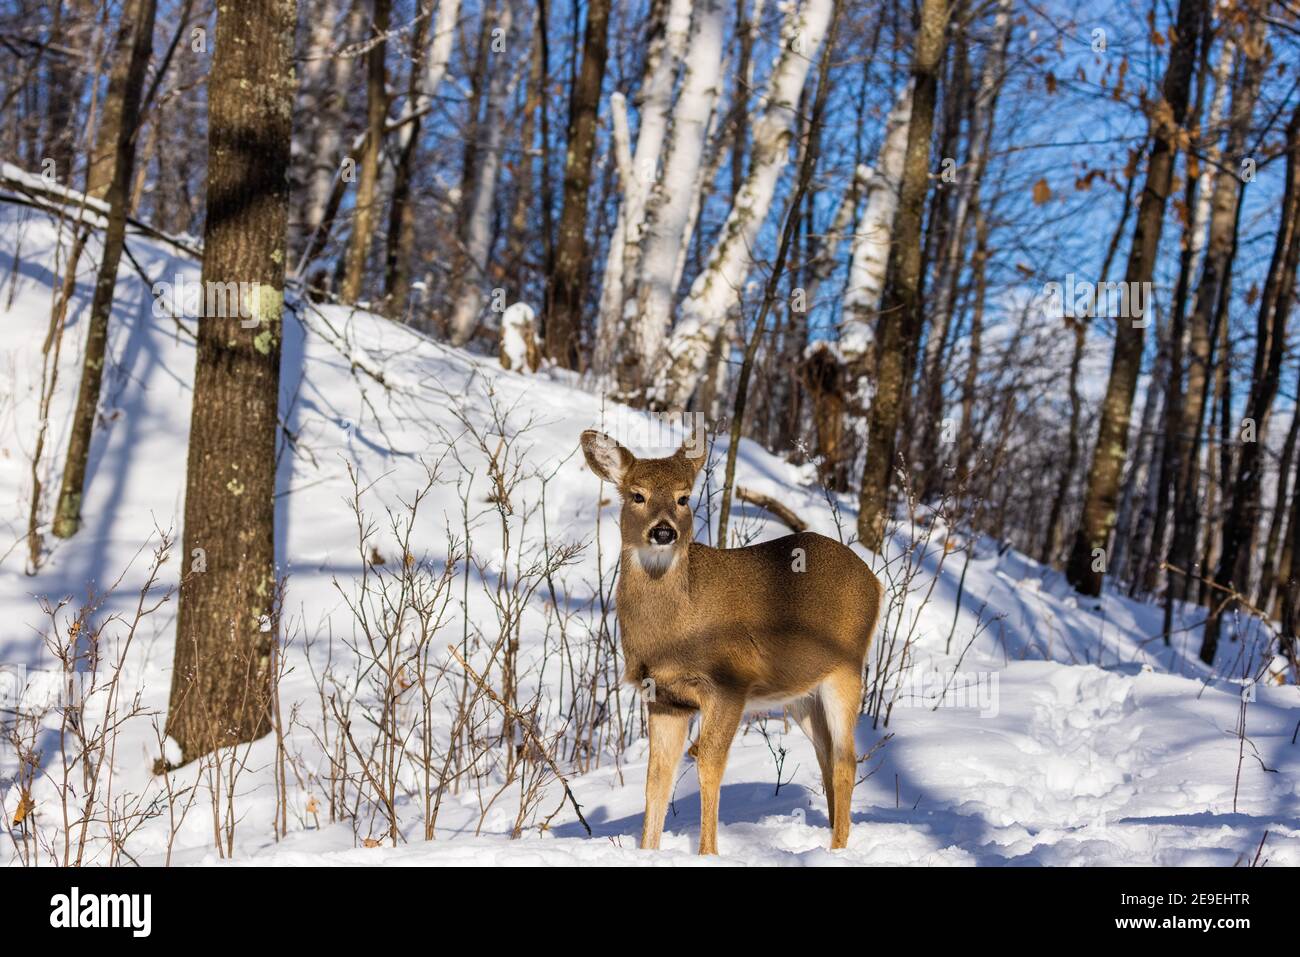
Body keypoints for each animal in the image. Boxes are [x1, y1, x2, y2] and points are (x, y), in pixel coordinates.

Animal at [579, 429, 883, 858]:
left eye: (683, 497)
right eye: (636, 495)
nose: (663, 531)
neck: (671, 632)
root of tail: (874, 580)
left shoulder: (729, 683)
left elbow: (707, 764)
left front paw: (707, 853)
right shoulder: (665, 698)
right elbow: (657, 779)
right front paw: (648, 851)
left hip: (847, 669)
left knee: (845, 760)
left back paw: (837, 850)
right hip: (801, 694)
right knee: (825, 755)